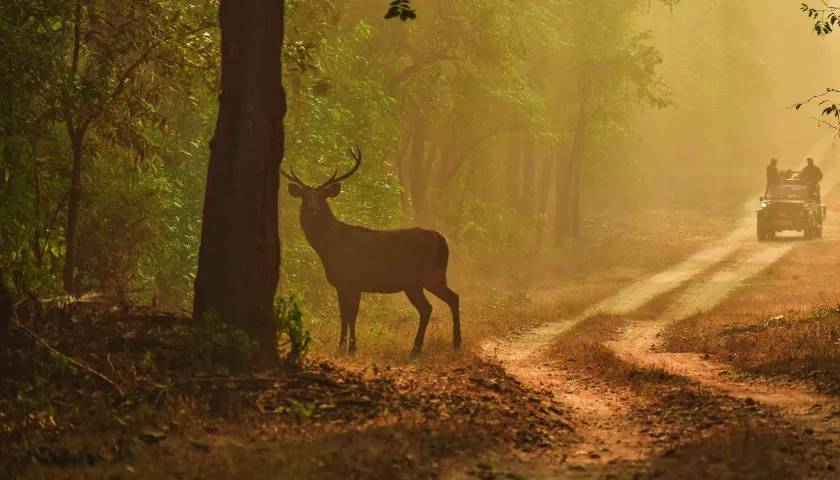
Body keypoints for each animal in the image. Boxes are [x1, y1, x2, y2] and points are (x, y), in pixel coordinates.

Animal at [286, 148, 462, 354]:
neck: (328, 247)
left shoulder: (348, 280)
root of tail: (441, 240)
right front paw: (349, 346)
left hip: (416, 278)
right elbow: (349, 314)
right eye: (304, 197)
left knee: (428, 308)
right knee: (453, 298)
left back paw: (416, 348)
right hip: (435, 275)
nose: (311, 208)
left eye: (322, 197)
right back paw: (456, 343)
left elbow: (348, 315)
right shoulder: (351, 284)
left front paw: (346, 347)